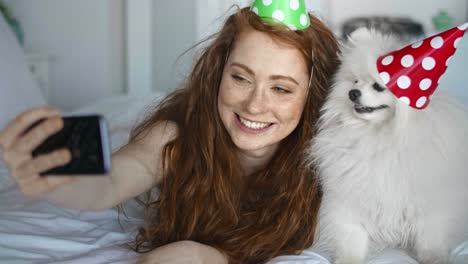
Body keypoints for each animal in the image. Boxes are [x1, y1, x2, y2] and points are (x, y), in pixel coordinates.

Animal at [308, 27, 468, 262]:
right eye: (355, 82)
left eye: (378, 87)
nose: (352, 93)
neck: (380, 137)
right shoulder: (349, 199)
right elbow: (351, 237)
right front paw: (349, 259)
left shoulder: (429, 203)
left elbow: (430, 238)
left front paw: (435, 258)